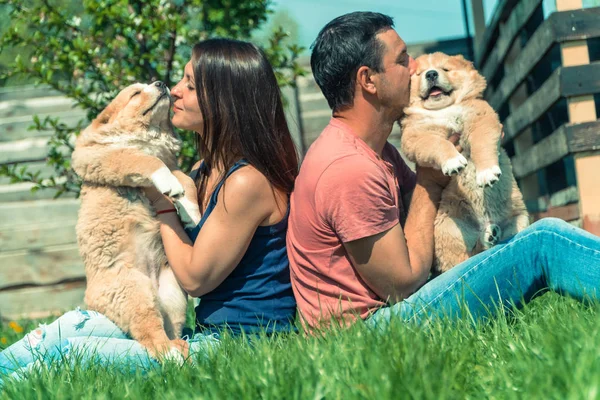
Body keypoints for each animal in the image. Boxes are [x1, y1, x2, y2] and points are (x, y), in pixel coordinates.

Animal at [70, 82, 202, 362]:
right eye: (135, 93)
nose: (161, 83)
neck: (151, 136)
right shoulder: (112, 157)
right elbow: (147, 161)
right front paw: (170, 185)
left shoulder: (173, 164)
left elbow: (185, 180)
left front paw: (192, 214)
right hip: (134, 292)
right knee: (151, 335)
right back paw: (171, 355)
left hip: (173, 294)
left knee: (167, 330)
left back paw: (180, 349)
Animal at [400, 52, 528, 276]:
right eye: (419, 73)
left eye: (445, 69)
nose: (431, 74)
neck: (444, 111)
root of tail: (484, 222)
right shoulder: (417, 136)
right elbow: (439, 144)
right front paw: (453, 162)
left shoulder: (480, 119)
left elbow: (481, 145)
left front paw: (487, 173)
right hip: (449, 228)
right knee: (467, 255)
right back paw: (487, 237)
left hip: (521, 220)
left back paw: (493, 234)